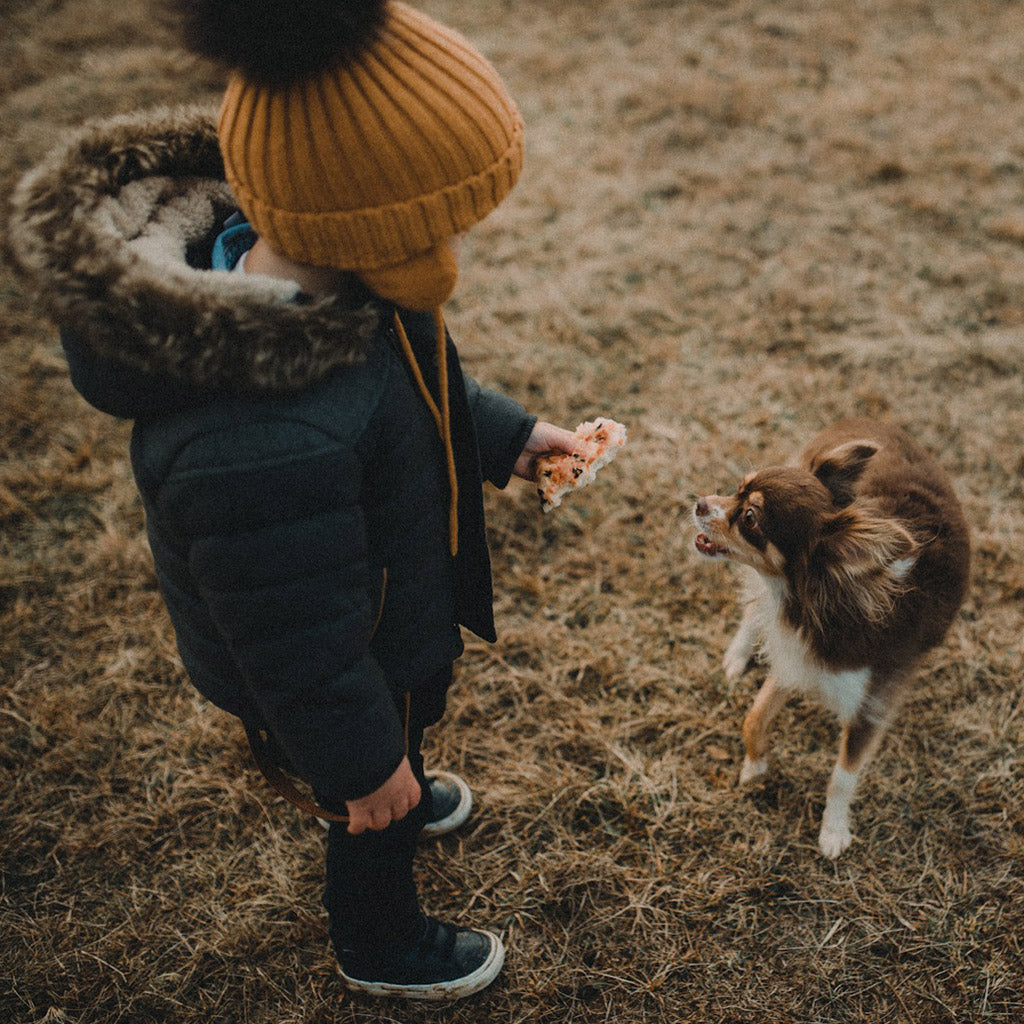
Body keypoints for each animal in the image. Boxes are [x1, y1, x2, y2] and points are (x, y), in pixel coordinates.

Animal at [692, 415, 970, 856]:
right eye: (737, 486)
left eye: (750, 517)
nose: (700, 503)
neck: (819, 598)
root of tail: (874, 421)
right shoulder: (794, 660)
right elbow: (754, 718)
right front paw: (755, 768)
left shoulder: (869, 705)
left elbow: (842, 777)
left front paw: (833, 831)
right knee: (753, 610)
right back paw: (737, 656)